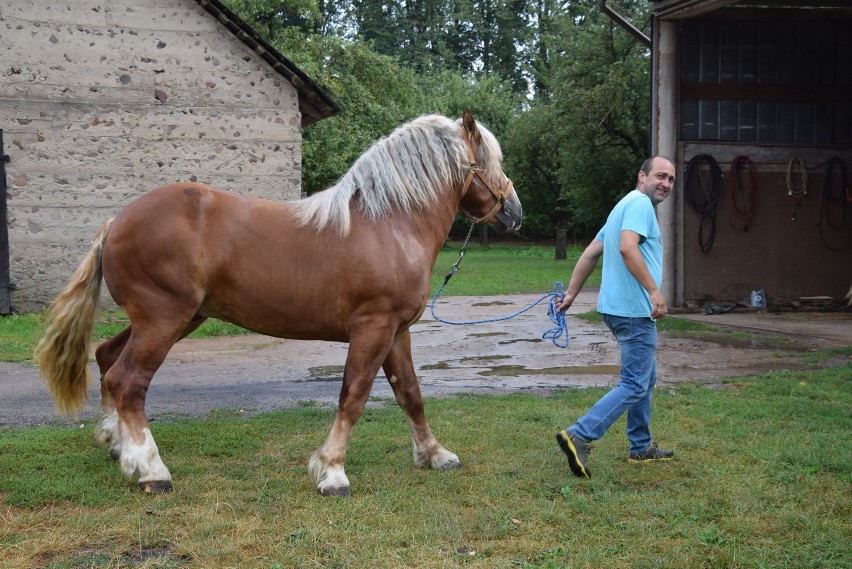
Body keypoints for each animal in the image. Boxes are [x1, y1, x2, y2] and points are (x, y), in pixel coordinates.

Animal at [33, 108, 524, 494]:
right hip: (163, 320)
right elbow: (354, 394)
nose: (515, 212)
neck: (389, 224)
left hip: (171, 319)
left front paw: (434, 455)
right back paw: (152, 470)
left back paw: (118, 448)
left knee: (105, 358)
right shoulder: (373, 327)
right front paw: (332, 472)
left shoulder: (397, 332)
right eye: (491, 160)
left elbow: (411, 394)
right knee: (127, 381)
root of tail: (117, 221)